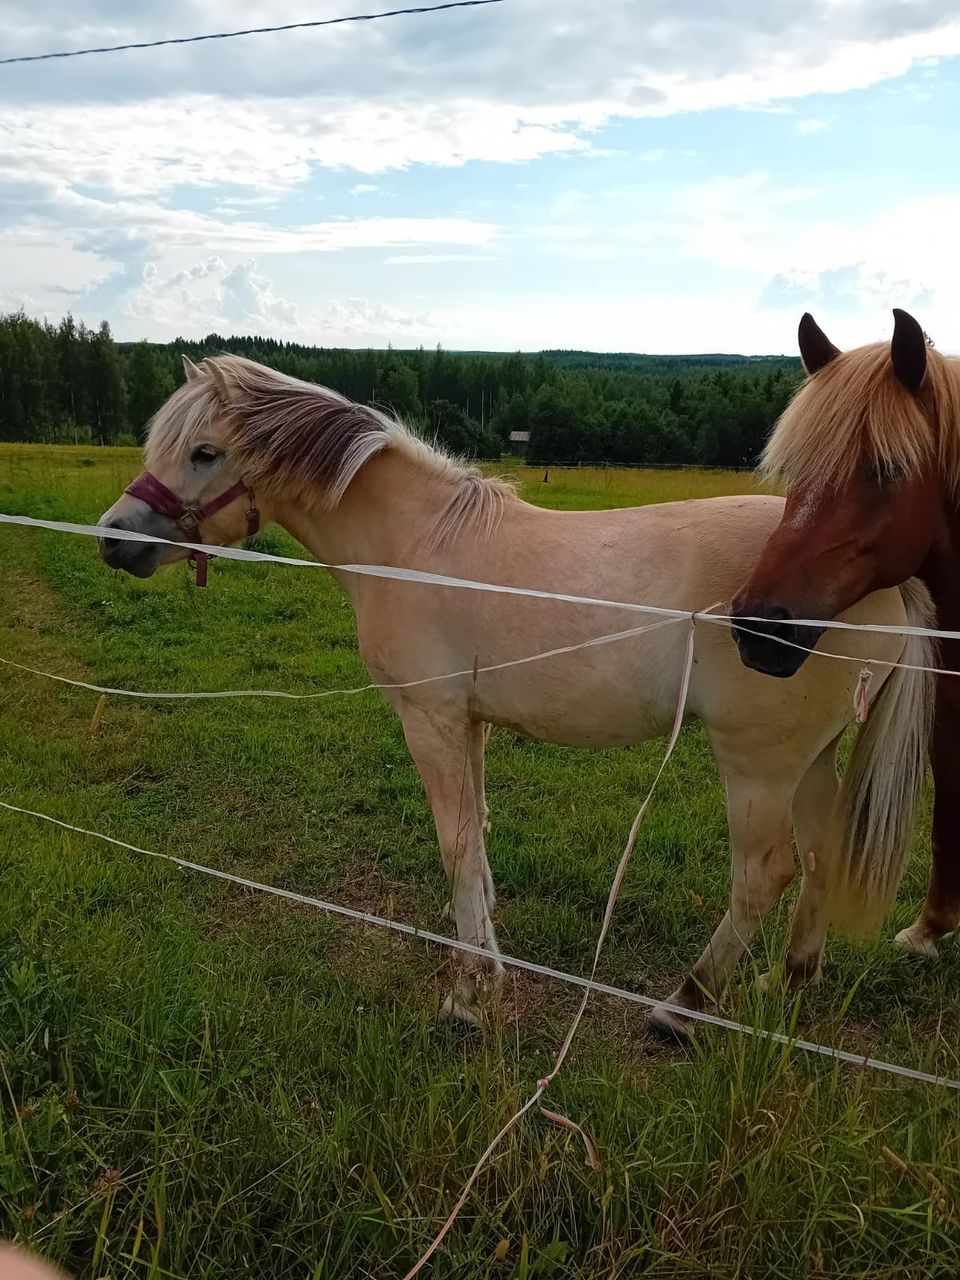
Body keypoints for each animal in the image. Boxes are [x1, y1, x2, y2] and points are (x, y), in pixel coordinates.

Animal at [96, 355, 931, 1034]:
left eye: (205, 452)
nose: (113, 537)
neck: (415, 545)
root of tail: (884, 585)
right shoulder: (468, 724)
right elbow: (476, 838)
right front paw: (483, 939)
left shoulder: (429, 719)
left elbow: (455, 842)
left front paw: (471, 993)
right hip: (811, 759)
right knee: (820, 857)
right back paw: (786, 983)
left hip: (757, 765)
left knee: (765, 873)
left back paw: (684, 1005)